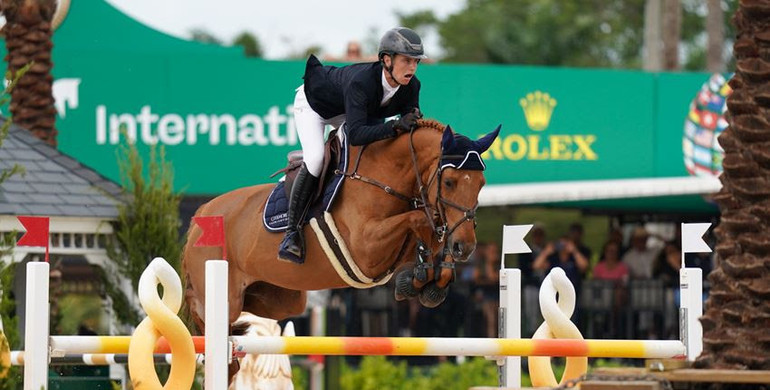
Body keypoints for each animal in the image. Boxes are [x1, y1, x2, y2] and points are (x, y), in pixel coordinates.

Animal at [183, 118, 500, 372]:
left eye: (481, 183)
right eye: (449, 182)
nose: (466, 247)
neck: (385, 175)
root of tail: (200, 215)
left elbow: (430, 232)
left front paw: (428, 280)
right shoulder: (366, 248)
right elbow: (418, 220)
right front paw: (418, 277)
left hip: (281, 299)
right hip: (224, 294)